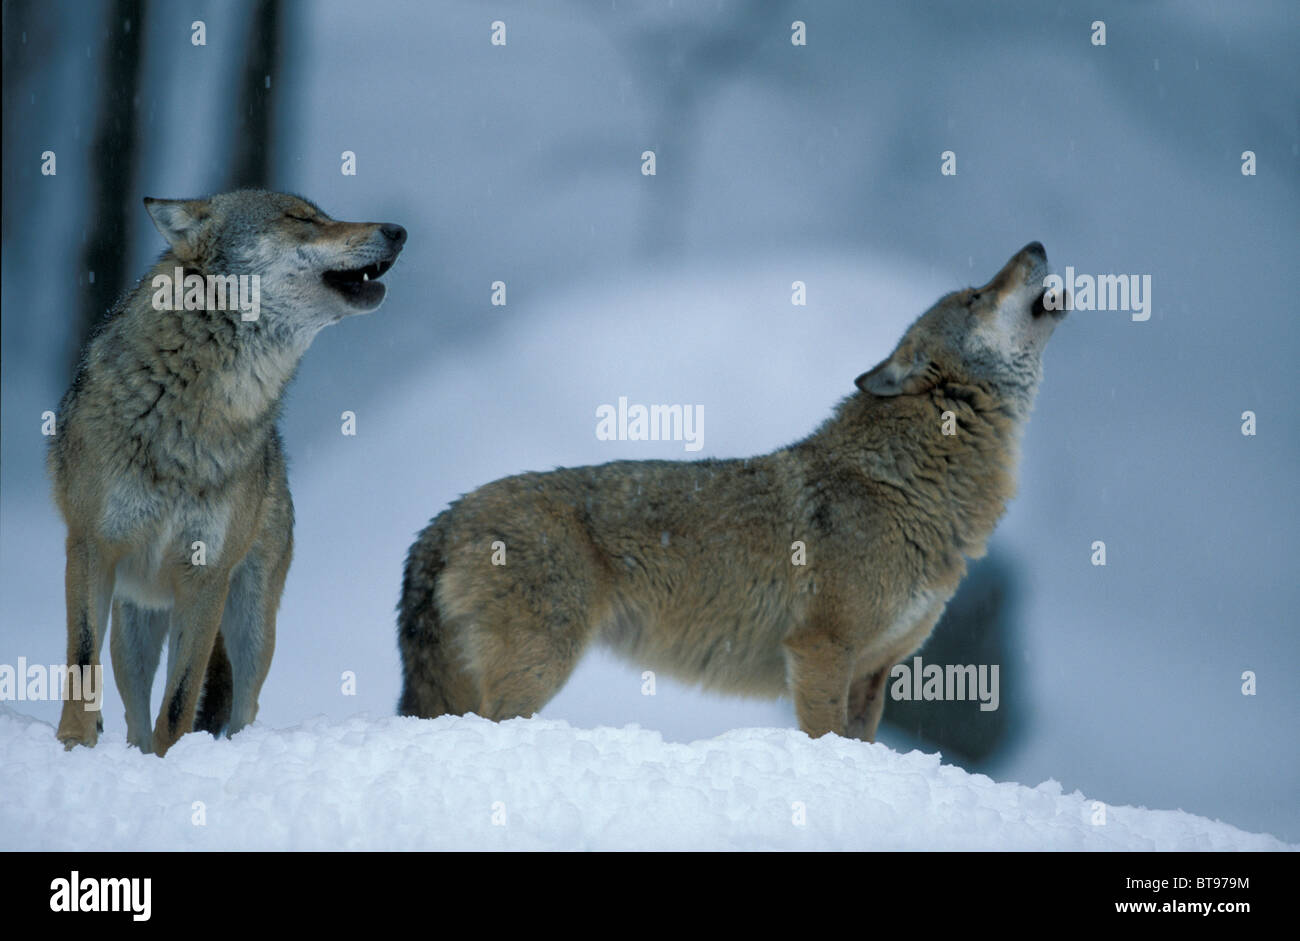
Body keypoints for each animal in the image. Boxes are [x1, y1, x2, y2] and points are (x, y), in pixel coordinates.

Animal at [50, 189, 405, 759]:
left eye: (320, 215)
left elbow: (181, 698)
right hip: (135, 623)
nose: (399, 231)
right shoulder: (89, 546)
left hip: (252, 626)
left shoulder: (206, 576)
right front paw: (73, 745)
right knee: (134, 710)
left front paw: (174, 762)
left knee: (242, 707)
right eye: (301, 219)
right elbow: (83, 661)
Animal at [397, 244, 1066, 743]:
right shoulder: (820, 649)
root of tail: (445, 518)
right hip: (539, 666)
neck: (911, 483)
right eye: (976, 297)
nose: (1036, 244)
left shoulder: (875, 672)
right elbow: (824, 736)